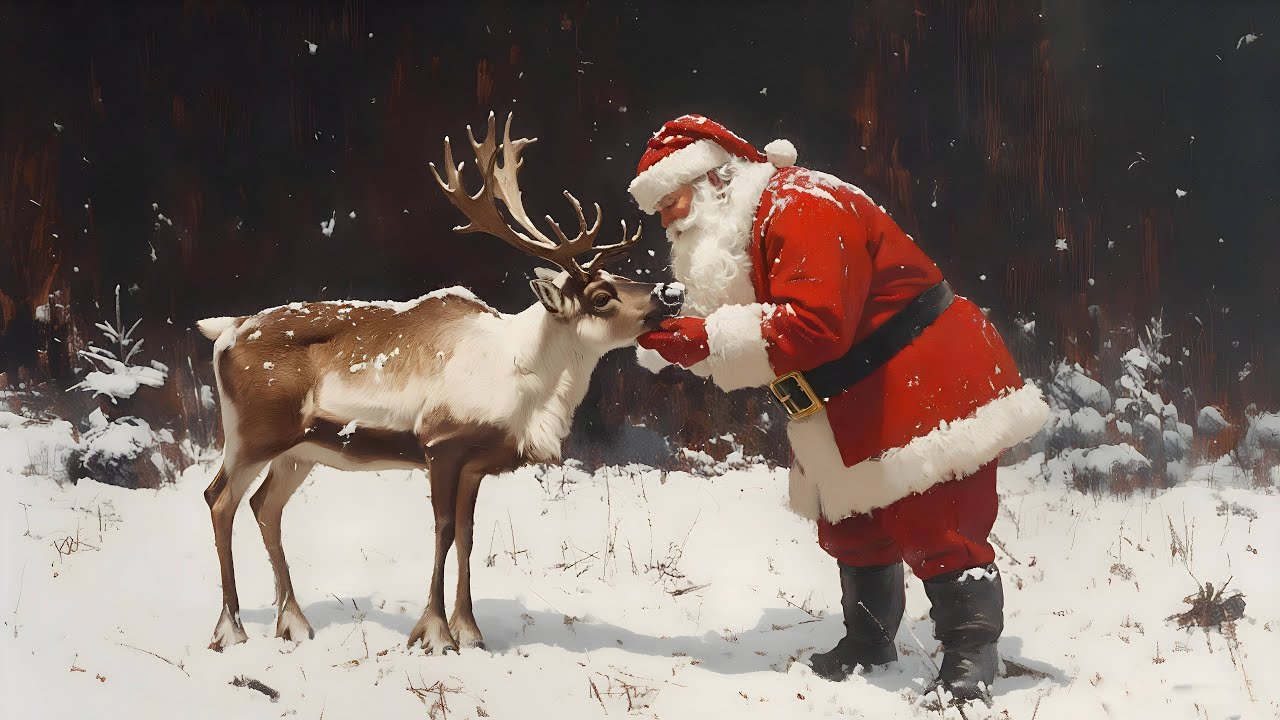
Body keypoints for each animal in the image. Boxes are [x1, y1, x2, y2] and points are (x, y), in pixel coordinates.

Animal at [195, 113, 682, 654]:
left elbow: (468, 535)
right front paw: (434, 633)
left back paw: (294, 623)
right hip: (251, 436)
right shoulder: (440, 444)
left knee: (264, 507)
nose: (672, 292)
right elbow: (444, 531)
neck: (525, 383)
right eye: (600, 296)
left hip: (298, 451)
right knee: (219, 499)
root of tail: (226, 330)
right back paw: (230, 630)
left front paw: (470, 630)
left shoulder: (476, 463)